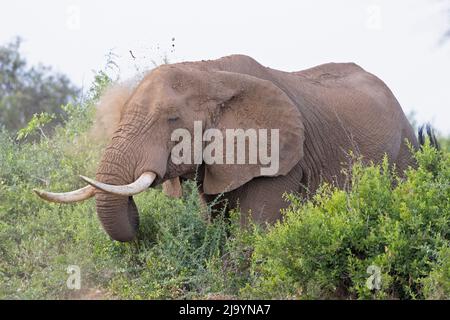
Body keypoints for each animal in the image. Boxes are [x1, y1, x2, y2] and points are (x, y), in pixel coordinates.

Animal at [34, 55, 422, 241]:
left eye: (172, 119)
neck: (211, 73)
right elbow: (216, 222)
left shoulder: (279, 159)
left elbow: (254, 234)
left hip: (405, 154)